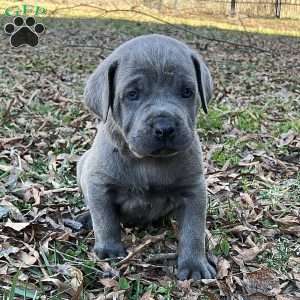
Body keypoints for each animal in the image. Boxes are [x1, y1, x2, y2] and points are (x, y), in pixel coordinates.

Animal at [77, 34, 216, 280]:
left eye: (187, 92)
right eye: (132, 95)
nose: (165, 127)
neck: (147, 161)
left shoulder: (194, 190)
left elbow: (194, 230)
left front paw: (194, 264)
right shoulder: (99, 184)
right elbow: (105, 220)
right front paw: (109, 250)